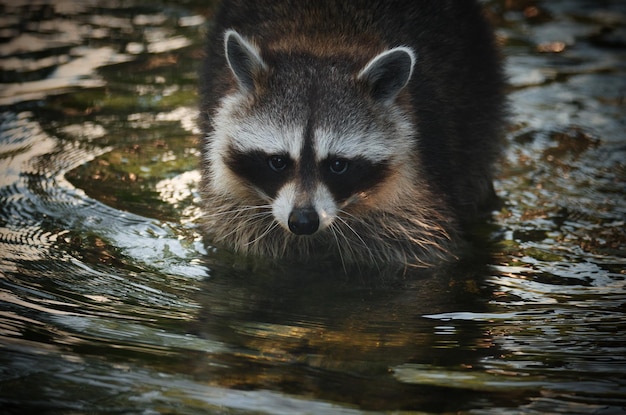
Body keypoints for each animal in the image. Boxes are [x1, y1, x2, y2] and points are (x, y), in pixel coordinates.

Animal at [197, 0, 504, 268]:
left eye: (337, 165)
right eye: (278, 161)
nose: (303, 222)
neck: (322, 43)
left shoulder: (416, 211)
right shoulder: (233, 215)